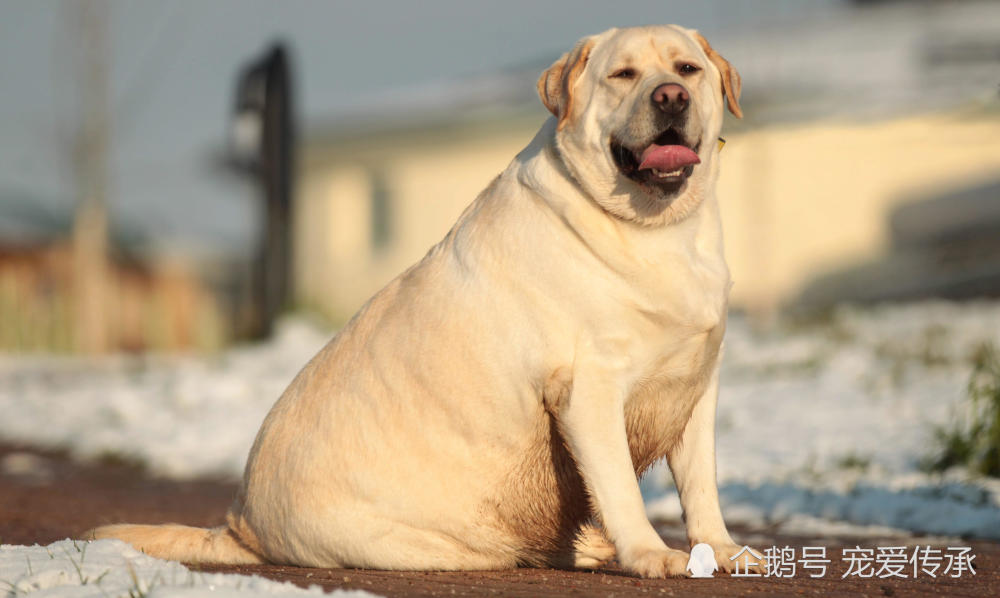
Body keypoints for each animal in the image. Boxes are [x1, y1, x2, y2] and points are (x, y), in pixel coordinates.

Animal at [90, 24, 752, 580]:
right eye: (622, 74)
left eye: (687, 68)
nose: (670, 97)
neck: (657, 230)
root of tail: (238, 525)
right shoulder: (588, 390)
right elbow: (618, 485)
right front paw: (649, 554)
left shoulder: (697, 384)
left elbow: (701, 483)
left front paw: (719, 550)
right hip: (436, 542)